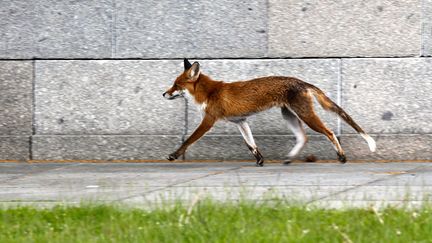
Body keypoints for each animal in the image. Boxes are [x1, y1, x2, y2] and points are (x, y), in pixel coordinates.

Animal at [162, 58, 374, 166]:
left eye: (176, 85)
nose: (163, 94)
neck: (209, 93)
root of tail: (302, 82)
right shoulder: (241, 122)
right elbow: (251, 145)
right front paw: (260, 160)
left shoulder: (208, 120)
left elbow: (188, 140)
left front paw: (173, 155)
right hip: (289, 116)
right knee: (303, 138)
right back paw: (289, 158)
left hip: (306, 116)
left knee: (329, 132)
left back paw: (342, 157)